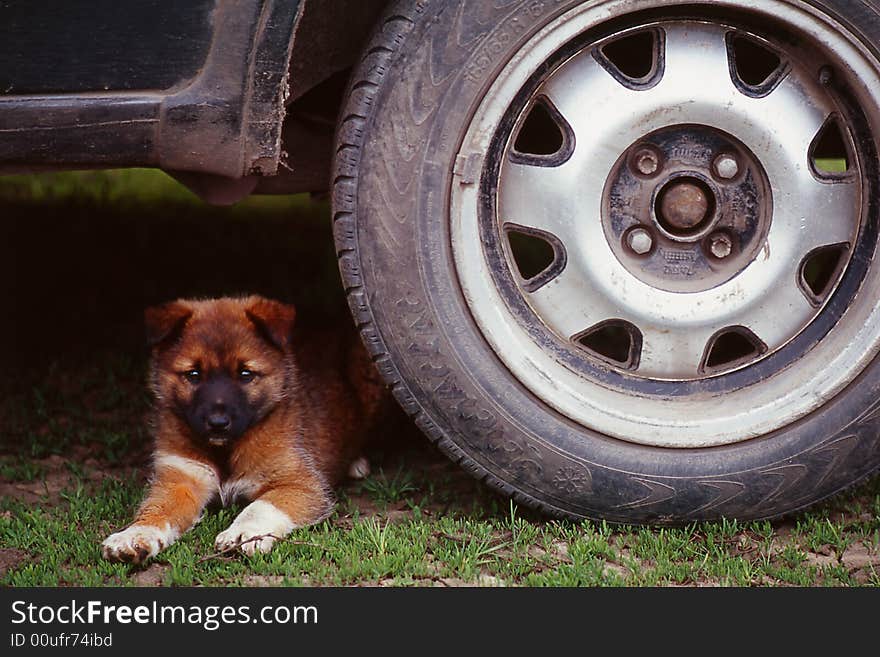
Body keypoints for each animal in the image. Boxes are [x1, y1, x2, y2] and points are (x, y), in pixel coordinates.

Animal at [101, 294, 384, 560]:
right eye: (193, 374)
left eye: (245, 374)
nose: (217, 424)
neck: (225, 451)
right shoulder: (180, 479)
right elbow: (157, 509)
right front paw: (134, 535)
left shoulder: (298, 482)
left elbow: (260, 506)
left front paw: (243, 533)